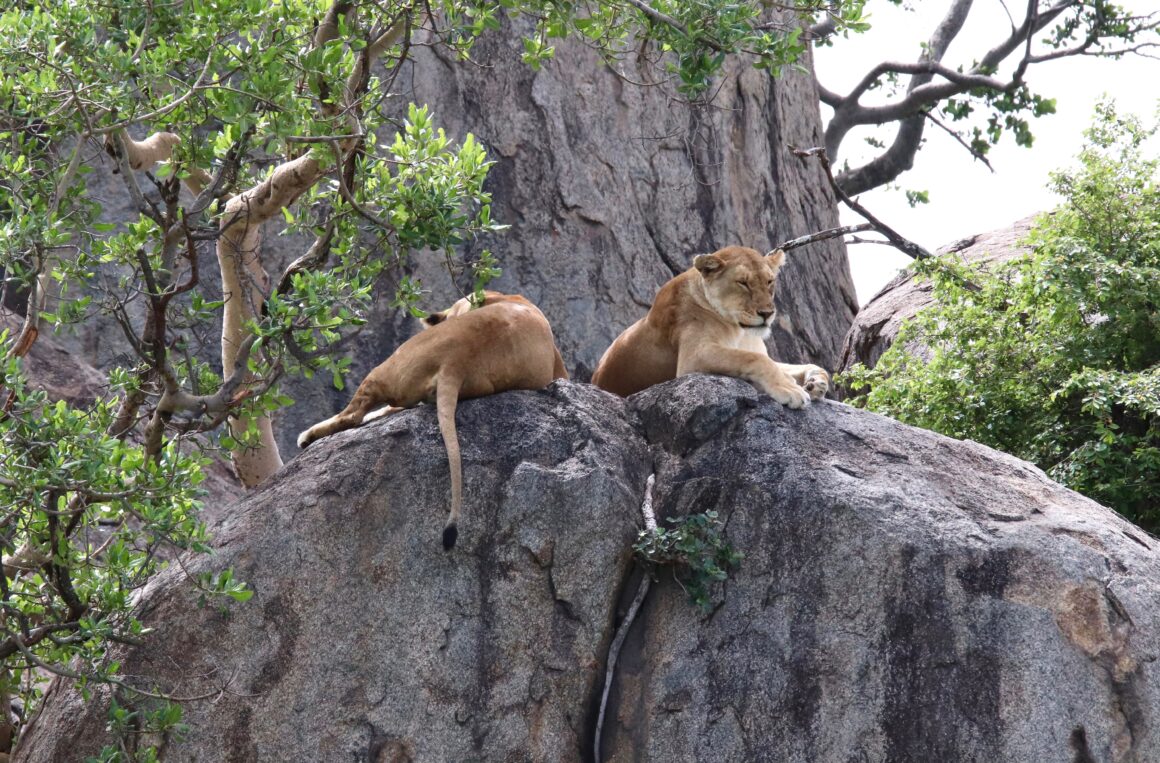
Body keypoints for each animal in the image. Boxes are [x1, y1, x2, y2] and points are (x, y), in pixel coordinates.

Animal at [591, 245, 829, 405]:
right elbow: (755, 359)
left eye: (769, 281)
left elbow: (802, 365)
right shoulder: (693, 358)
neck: (741, 331)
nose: (767, 313)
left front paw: (816, 382)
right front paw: (789, 388)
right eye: (743, 282)